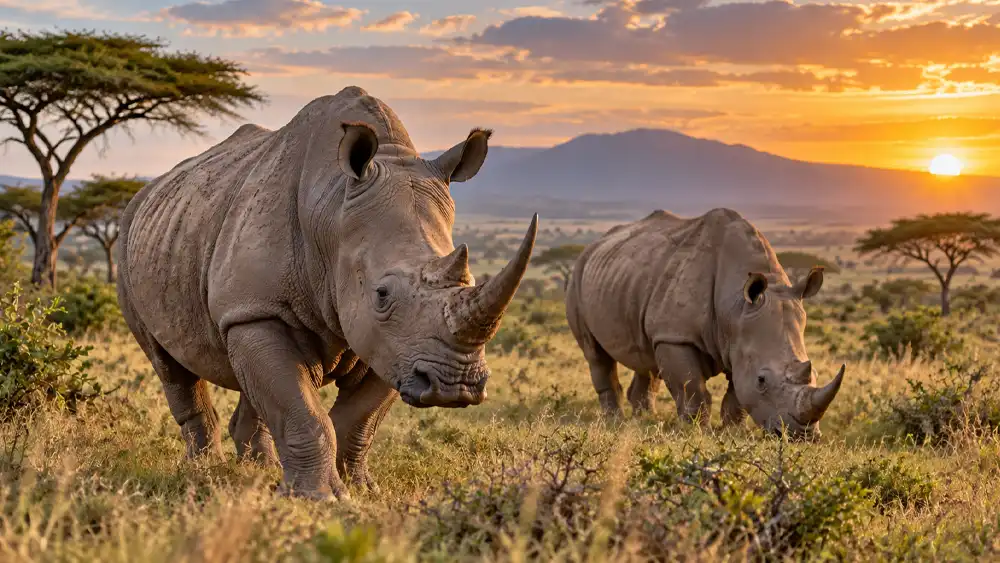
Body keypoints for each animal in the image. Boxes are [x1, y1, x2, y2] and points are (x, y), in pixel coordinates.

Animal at [116, 86, 538, 499]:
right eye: (382, 294)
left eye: (468, 281)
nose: (455, 385)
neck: (332, 212)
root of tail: (149, 191)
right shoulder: (264, 310)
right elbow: (302, 410)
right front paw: (318, 498)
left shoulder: (395, 345)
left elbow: (357, 418)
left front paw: (359, 490)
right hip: (132, 240)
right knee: (170, 366)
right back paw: (205, 471)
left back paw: (259, 471)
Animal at [565, 208, 844, 438]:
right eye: (762, 380)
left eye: (815, 375)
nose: (801, 435)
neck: (735, 306)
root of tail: (594, 245)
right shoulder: (676, 336)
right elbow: (692, 389)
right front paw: (694, 430)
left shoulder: (739, 341)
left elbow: (736, 394)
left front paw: (733, 432)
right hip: (578, 275)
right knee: (596, 354)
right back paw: (615, 421)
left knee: (646, 358)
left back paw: (644, 419)